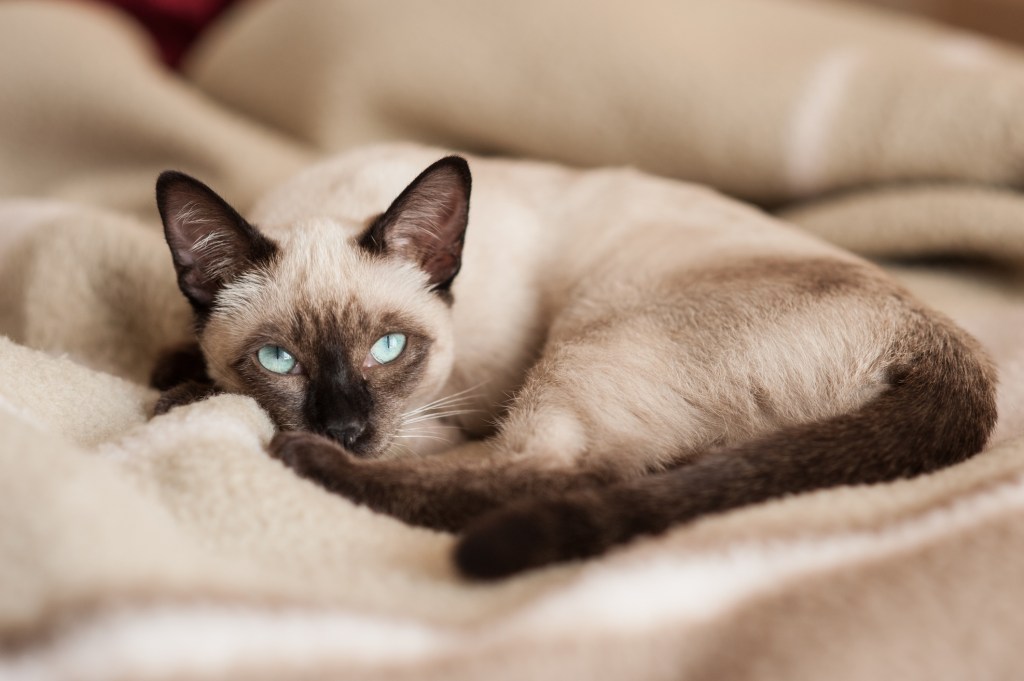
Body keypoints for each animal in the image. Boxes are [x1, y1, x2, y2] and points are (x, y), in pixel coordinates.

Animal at [155, 143, 995, 577]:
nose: (345, 429)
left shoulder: (446, 410)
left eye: (389, 348)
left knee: (561, 472)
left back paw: (308, 460)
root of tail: (936, 332)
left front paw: (187, 396)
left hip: (594, 335)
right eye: (278, 358)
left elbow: (451, 445)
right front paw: (176, 370)